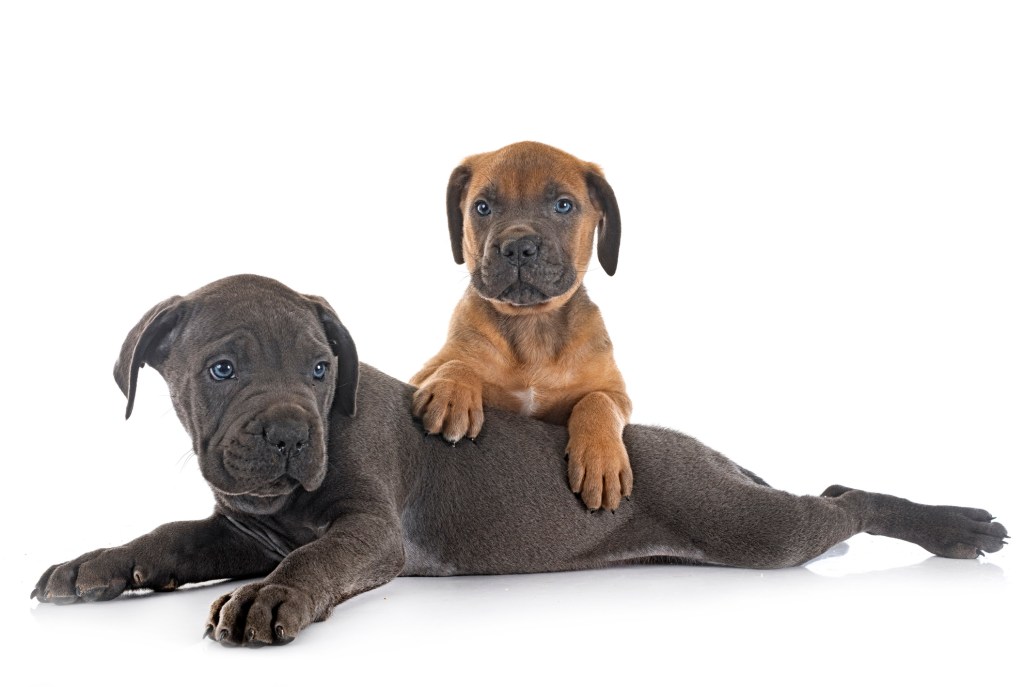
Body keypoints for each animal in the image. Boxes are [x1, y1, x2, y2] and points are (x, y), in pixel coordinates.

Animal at [32, 272, 1007, 647]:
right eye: (221, 370)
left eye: (318, 370)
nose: (286, 435)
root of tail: (703, 449)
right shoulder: (241, 527)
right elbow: (168, 533)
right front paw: (95, 566)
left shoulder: (368, 534)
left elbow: (315, 558)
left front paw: (271, 600)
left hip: (753, 526)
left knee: (843, 499)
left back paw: (959, 525)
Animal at [411, 142, 626, 509]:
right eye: (482, 207)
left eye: (563, 205)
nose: (518, 247)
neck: (532, 325)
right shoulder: (422, 373)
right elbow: (456, 363)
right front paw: (452, 392)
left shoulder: (616, 392)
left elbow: (599, 401)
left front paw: (602, 458)